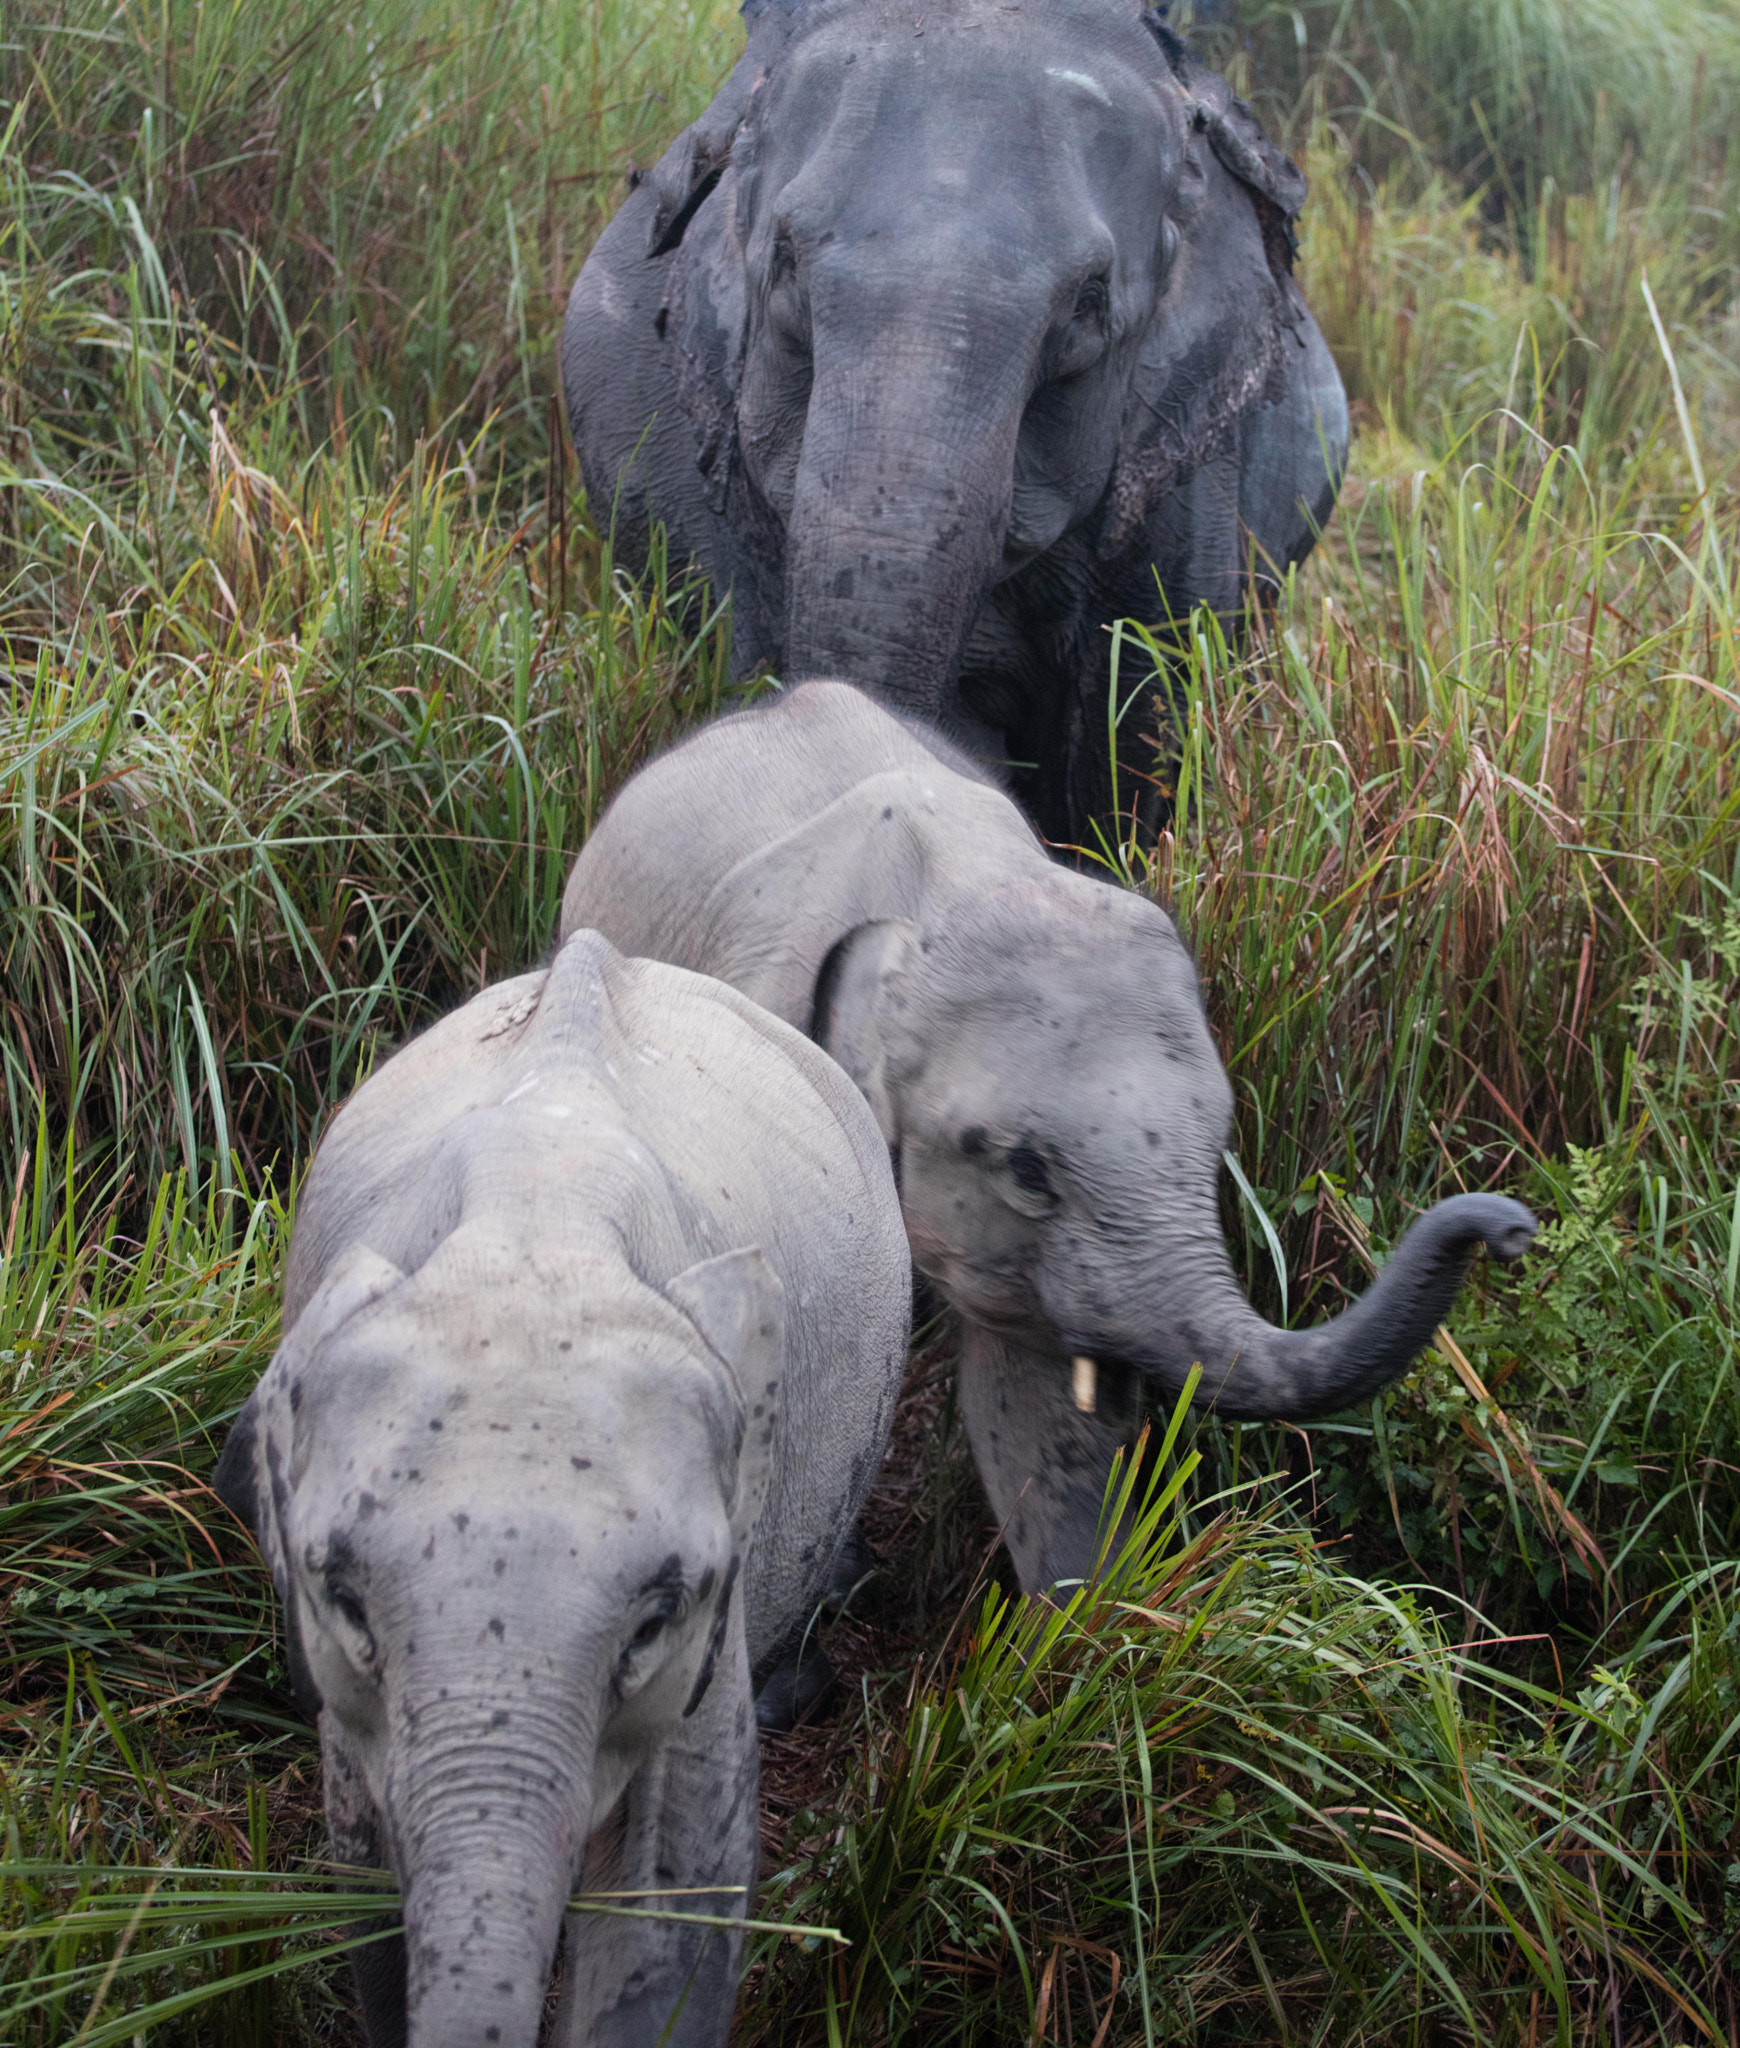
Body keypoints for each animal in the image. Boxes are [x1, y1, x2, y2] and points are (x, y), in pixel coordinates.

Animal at [560, 679, 1531, 1589]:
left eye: (1215, 1146)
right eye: (1027, 1171)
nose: (1512, 1228)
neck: (947, 899)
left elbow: (1031, 1408)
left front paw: (1082, 1626)